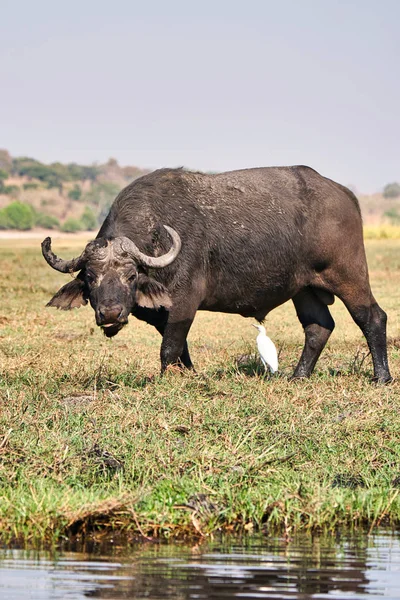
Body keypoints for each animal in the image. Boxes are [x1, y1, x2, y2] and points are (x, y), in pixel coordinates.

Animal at [42, 165, 392, 380]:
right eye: (91, 278)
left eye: (130, 276)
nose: (110, 313)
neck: (157, 235)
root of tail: (345, 195)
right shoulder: (163, 313)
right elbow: (180, 349)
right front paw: (187, 376)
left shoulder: (184, 302)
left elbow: (169, 348)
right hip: (304, 289)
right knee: (319, 327)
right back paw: (298, 376)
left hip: (349, 275)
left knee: (372, 317)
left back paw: (382, 377)